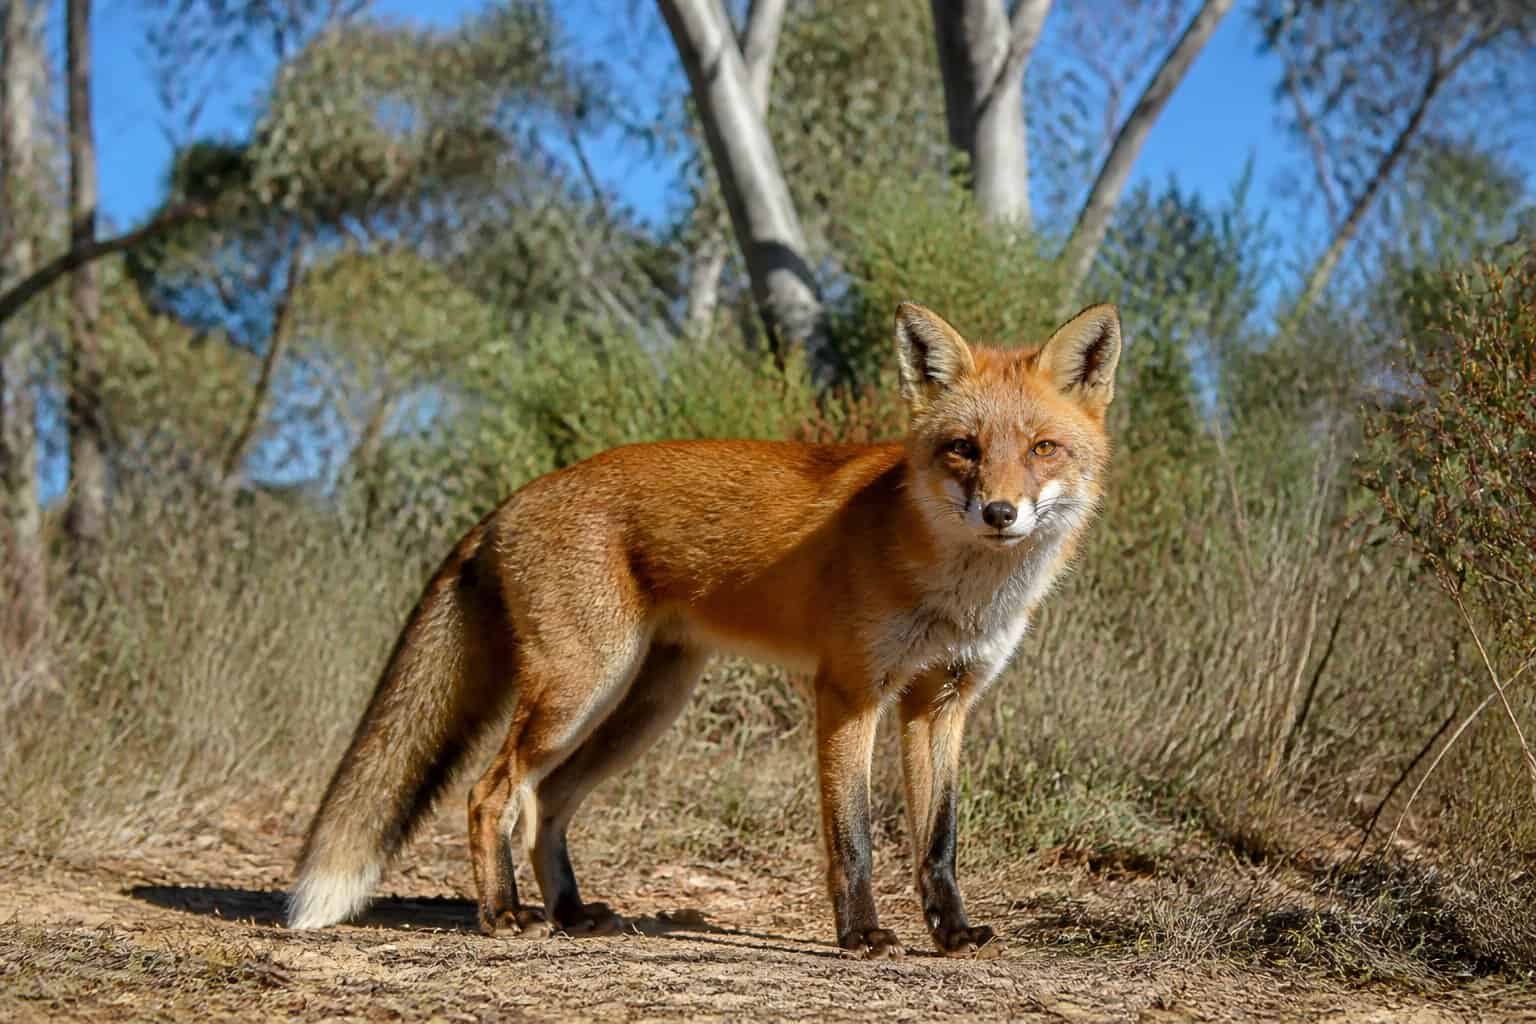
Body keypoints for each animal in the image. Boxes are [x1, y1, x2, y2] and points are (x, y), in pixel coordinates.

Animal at [287, 301, 1122, 958]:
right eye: (963, 449)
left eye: (1043, 448)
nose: (1001, 513)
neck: (958, 591)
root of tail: (514, 498)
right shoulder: (848, 692)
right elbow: (851, 837)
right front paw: (860, 935)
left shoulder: (940, 702)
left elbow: (938, 840)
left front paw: (950, 933)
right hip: (579, 690)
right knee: (491, 793)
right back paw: (504, 914)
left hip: (644, 707)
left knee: (547, 800)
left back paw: (571, 913)